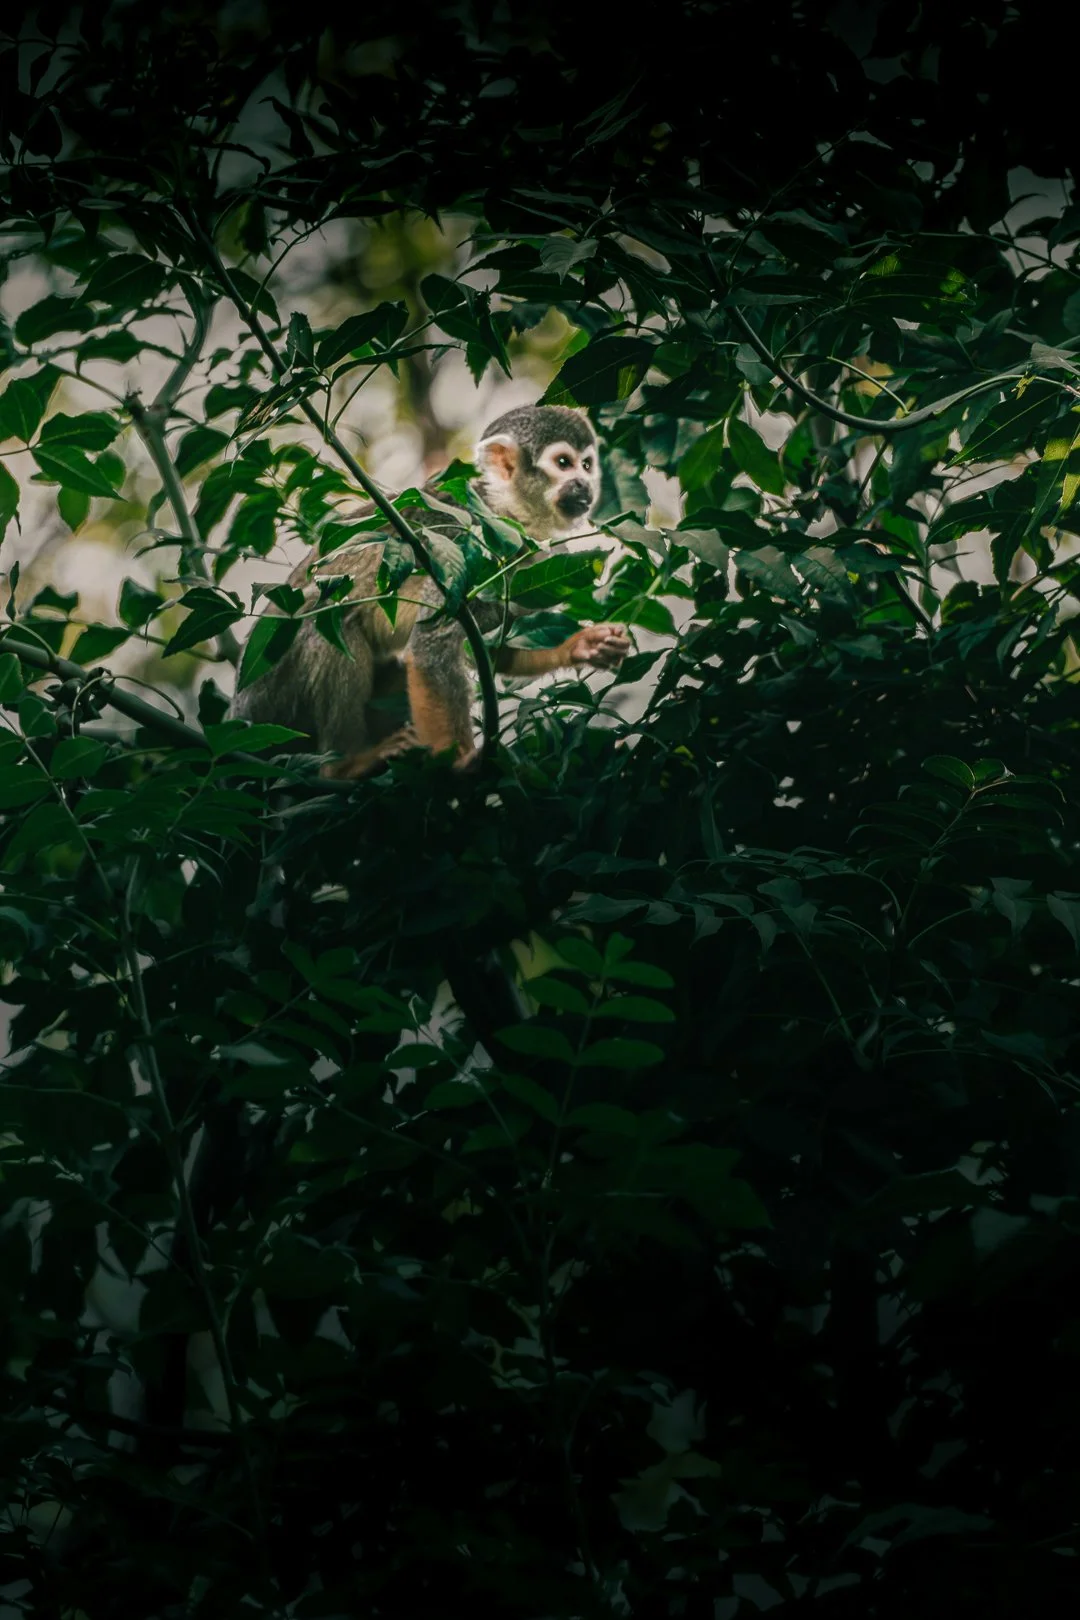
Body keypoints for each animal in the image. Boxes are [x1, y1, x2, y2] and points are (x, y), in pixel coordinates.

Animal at [231, 405, 631, 777]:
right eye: (564, 463)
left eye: (586, 465)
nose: (585, 485)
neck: (506, 515)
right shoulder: (461, 541)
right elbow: (432, 645)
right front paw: (460, 759)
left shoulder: (532, 564)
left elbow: (483, 650)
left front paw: (583, 645)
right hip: (271, 690)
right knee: (329, 617)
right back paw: (346, 765)